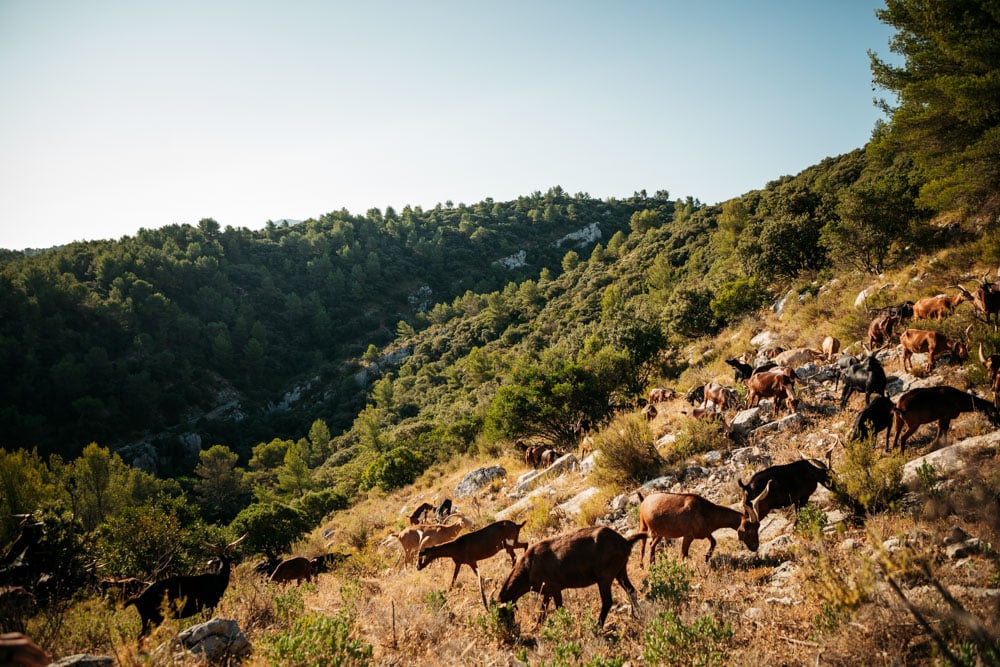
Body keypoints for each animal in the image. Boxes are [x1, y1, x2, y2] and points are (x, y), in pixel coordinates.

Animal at [496, 528, 644, 632]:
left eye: (502, 613)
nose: (508, 631)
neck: (528, 567)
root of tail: (625, 541)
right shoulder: (547, 593)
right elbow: (542, 612)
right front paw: (535, 628)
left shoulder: (555, 589)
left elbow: (559, 609)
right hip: (620, 571)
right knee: (631, 590)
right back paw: (637, 616)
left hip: (605, 577)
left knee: (608, 601)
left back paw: (597, 626)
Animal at [636, 486, 768, 568]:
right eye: (749, 530)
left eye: (758, 528)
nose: (755, 547)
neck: (704, 511)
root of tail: (644, 501)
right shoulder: (688, 536)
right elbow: (682, 555)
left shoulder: (705, 533)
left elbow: (713, 542)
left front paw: (706, 558)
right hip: (644, 526)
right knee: (643, 544)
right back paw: (642, 565)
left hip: (660, 533)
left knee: (651, 545)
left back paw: (652, 564)